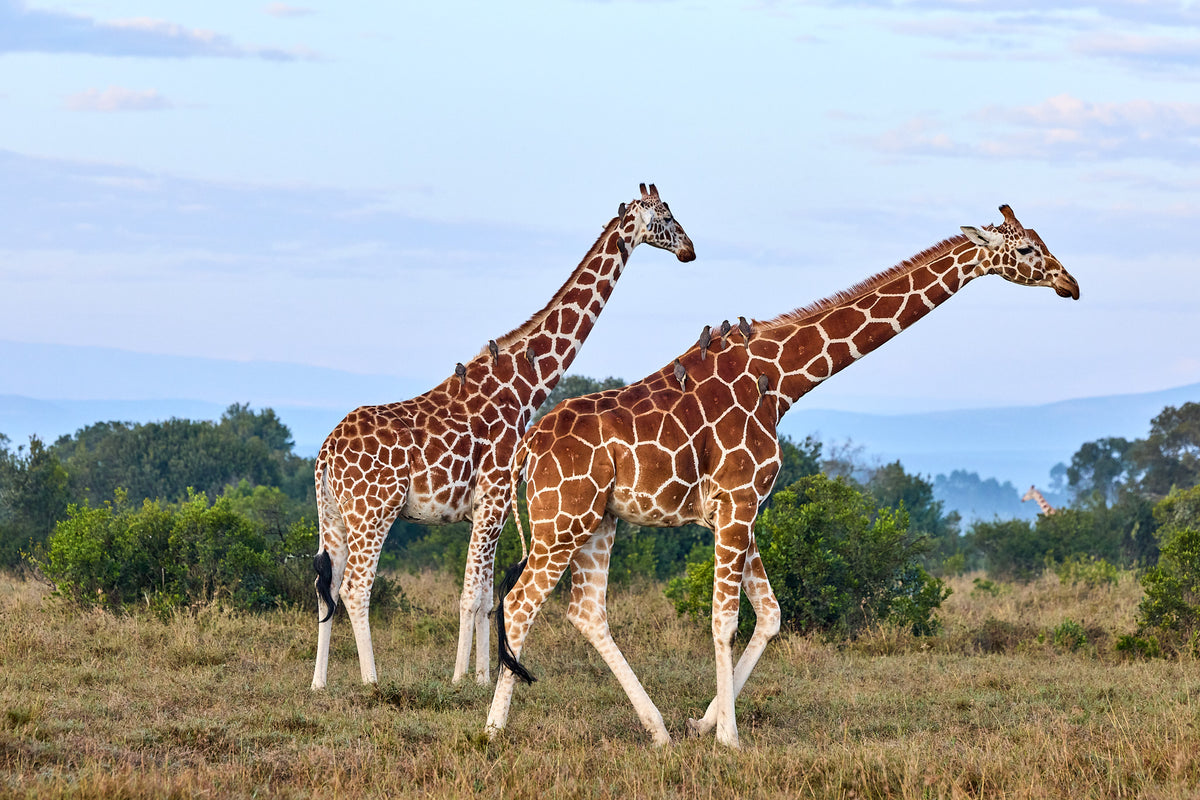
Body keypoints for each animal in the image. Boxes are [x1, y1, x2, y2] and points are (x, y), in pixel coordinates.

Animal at [310, 184, 696, 690]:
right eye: (666, 216)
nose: (690, 249)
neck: (523, 387)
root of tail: (325, 453)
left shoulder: (484, 509)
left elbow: (486, 597)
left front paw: (480, 677)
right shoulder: (494, 499)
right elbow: (472, 596)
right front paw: (463, 679)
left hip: (333, 515)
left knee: (327, 587)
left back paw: (318, 682)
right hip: (374, 512)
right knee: (356, 588)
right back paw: (371, 680)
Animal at [486, 205, 1079, 748]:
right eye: (1027, 249)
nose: (1069, 284)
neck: (782, 379)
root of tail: (527, 448)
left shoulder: (736, 508)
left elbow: (770, 615)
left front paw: (705, 722)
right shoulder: (739, 499)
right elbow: (726, 619)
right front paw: (730, 738)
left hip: (598, 519)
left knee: (586, 612)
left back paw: (657, 730)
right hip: (562, 521)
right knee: (518, 606)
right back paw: (493, 729)